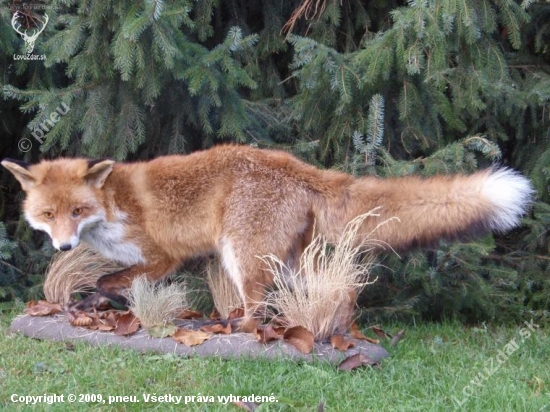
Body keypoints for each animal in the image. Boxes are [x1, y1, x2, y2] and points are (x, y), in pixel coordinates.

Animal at [0, 145, 536, 332]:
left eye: (77, 212)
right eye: (48, 215)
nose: (64, 248)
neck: (113, 206)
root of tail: (298, 166)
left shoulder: (162, 256)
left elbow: (110, 280)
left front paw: (101, 301)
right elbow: (109, 287)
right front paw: (93, 308)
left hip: (243, 255)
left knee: (258, 310)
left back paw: (231, 329)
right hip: (287, 262)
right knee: (327, 294)